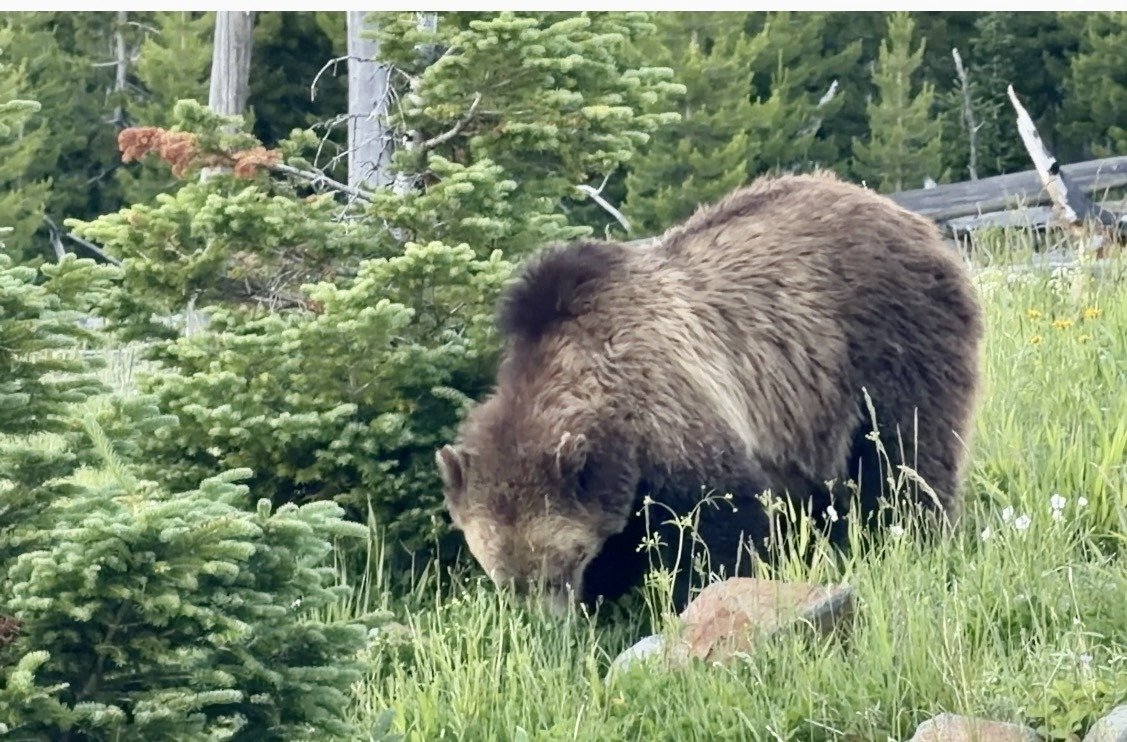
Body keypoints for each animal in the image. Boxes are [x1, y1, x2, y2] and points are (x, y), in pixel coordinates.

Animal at [435, 171, 984, 615]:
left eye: (558, 566)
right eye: (505, 578)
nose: (551, 623)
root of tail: (915, 220)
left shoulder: (673, 412)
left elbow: (719, 522)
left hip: (891, 339)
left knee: (905, 452)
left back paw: (915, 533)